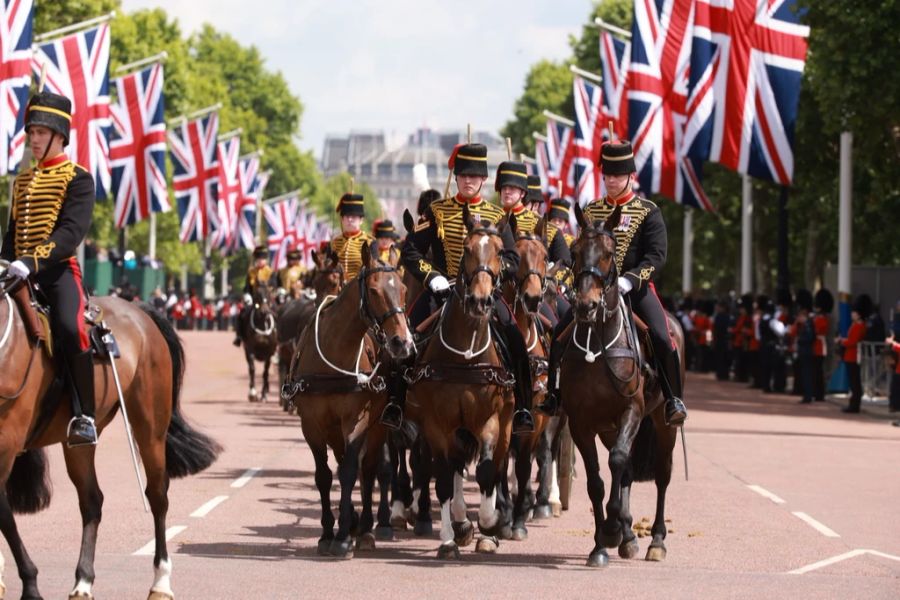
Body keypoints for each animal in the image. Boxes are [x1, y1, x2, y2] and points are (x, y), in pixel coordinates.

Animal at [0, 268, 221, 600]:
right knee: (92, 500)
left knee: (157, 496)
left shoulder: (7, 444)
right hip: (78, 443)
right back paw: (83, 580)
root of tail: (138, 311)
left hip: (149, 428)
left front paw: (30, 585)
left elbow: (4, 516)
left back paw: (161, 581)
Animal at [282, 240, 414, 556]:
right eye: (375, 290)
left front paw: (342, 536)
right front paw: (328, 532)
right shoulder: (312, 425)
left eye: (404, 289)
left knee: (372, 468)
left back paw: (368, 526)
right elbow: (324, 475)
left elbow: (350, 472)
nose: (402, 342)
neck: (333, 354)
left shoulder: (357, 420)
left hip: (377, 425)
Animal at [406, 207, 516, 564]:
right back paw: (460, 521)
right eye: (466, 250)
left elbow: (486, 472)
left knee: (496, 467)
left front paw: (490, 524)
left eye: (500, 251)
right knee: (453, 467)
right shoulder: (437, 425)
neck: (465, 356)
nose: (480, 301)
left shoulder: (490, 420)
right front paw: (449, 538)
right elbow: (442, 478)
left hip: (507, 424)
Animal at [560, 205, 680, 568]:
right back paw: (627, 535)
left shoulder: (632, 410)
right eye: (574, 251)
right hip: (608, 427)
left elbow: (616, 463)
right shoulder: (581, 422)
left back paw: (656, 540)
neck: (597, 345)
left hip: (662, 424)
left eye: (609, 253)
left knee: (662, 474)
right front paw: (602, 543)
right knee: (624, 469)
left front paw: (612, 529)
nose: (586, 305)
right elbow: (597, 480)